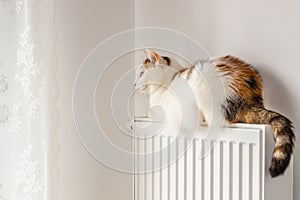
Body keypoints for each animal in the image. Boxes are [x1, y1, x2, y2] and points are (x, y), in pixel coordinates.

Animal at [134, 49, 296, 177]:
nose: (134, 83)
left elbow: (153, 112)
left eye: (141, 74)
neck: (169, 81)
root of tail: (251, 100)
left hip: (202, 80)